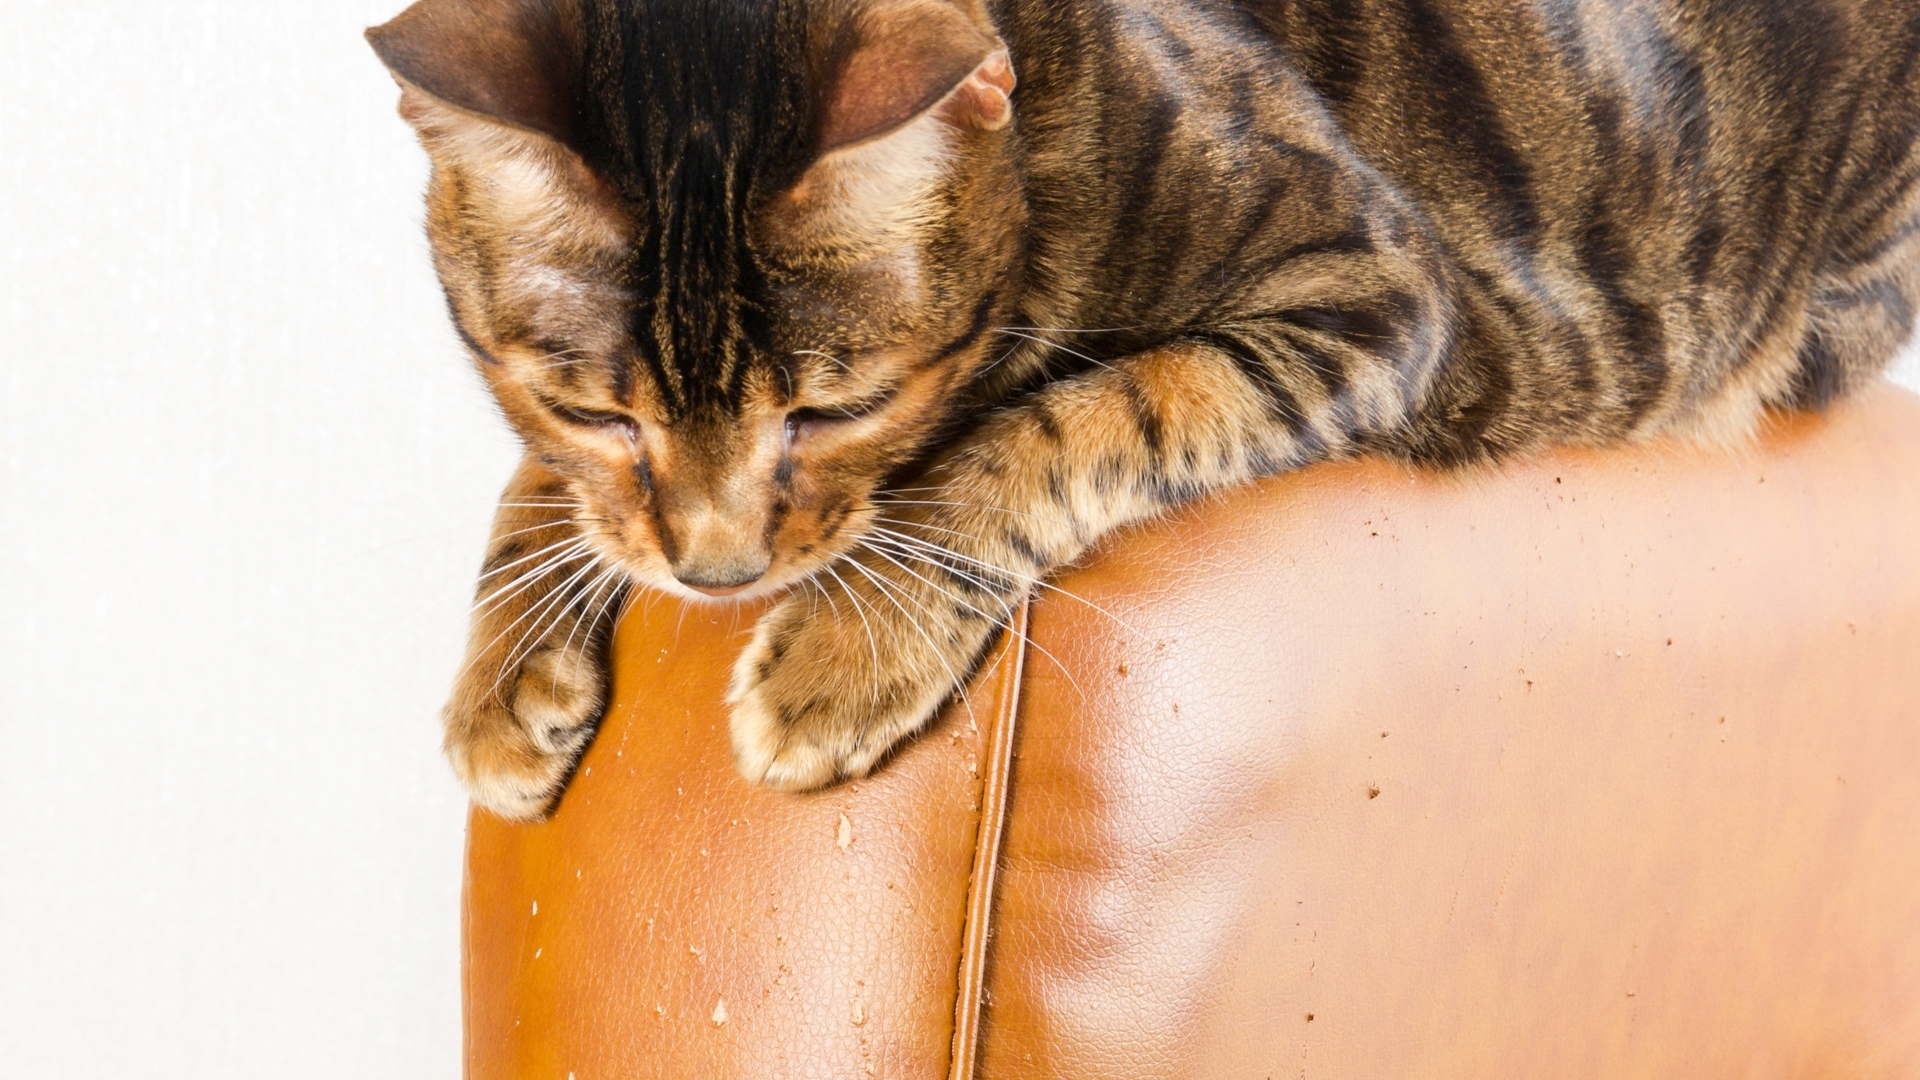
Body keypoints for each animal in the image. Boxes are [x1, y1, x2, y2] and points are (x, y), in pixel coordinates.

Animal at [366, 0, 1920, 814]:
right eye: (596, 414)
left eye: (833, 410)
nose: (718, 572)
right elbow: (552, 492)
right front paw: (508, 663)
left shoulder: (1375, 285)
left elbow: (1075, 426)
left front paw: (849, 648)